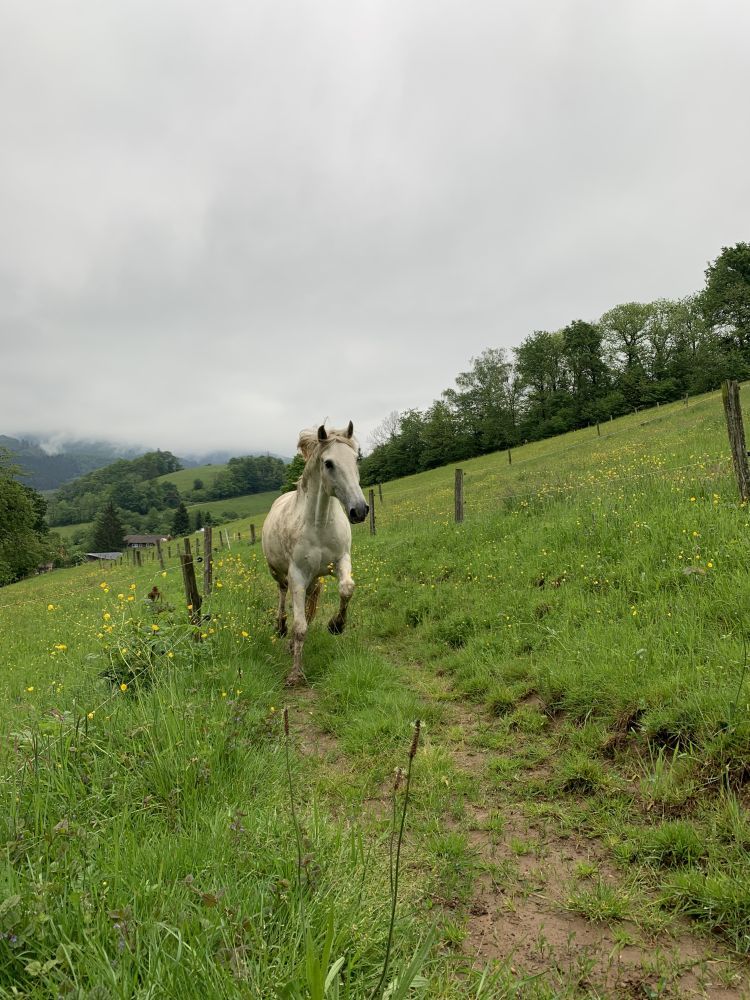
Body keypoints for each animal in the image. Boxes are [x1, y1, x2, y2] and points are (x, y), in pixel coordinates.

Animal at [261, 421, 369, 686]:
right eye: (328, 463)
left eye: (356, 459)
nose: (359, 510)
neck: (319, 524)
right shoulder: (297, 575)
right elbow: (300, 626)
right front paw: (295, 674)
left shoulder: (341, 561)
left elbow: (346, 588)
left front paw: (336, 625)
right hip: (278, 572)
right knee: (282, 593)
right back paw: (280, 627)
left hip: (313, 579)